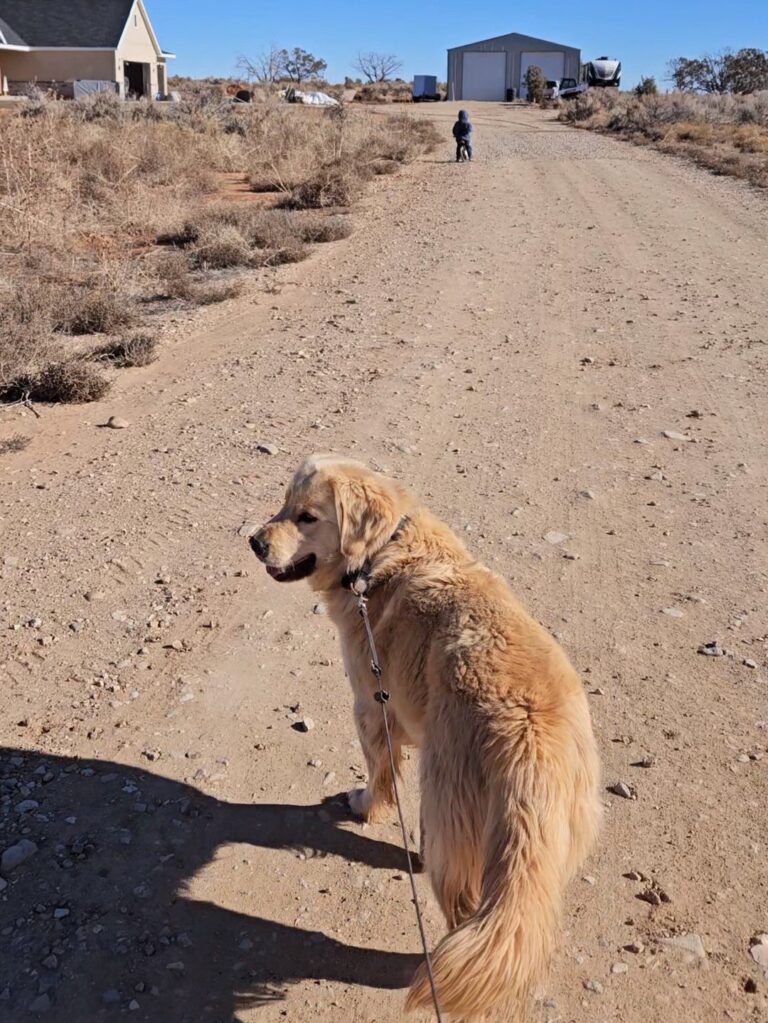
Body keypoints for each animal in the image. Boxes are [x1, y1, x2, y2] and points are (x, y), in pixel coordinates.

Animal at [250, 458, 601, 1023]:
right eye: (284, 505)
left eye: (307, 517)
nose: (255, 542)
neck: (378, 555)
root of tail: (530, 739)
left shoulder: (371, 705)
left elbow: (379, 774)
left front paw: (364, 806)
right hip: (556, 839)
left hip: (446, 803)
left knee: (464, 913)